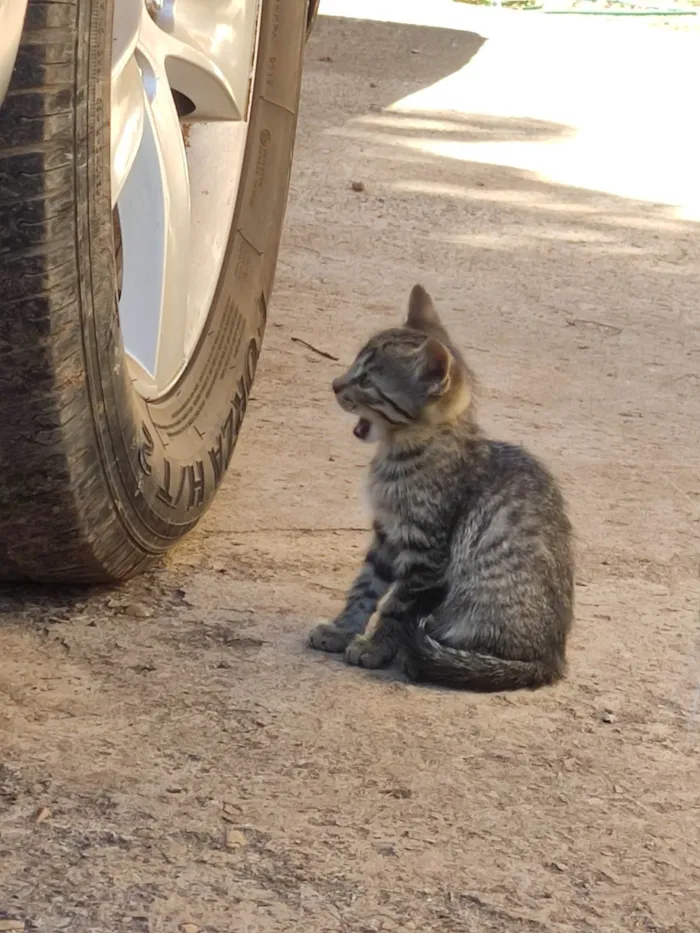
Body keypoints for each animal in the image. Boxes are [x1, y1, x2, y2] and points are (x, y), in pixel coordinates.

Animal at [312, 288, 576, 688]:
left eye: (368, 383)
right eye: (353, 368)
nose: (335, 384)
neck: (400, 455)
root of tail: (551, 659)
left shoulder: (426, 551)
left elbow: (397, 607)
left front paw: (376, 647)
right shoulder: (386, 535)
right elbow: (363, 588)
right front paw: (343, 630)